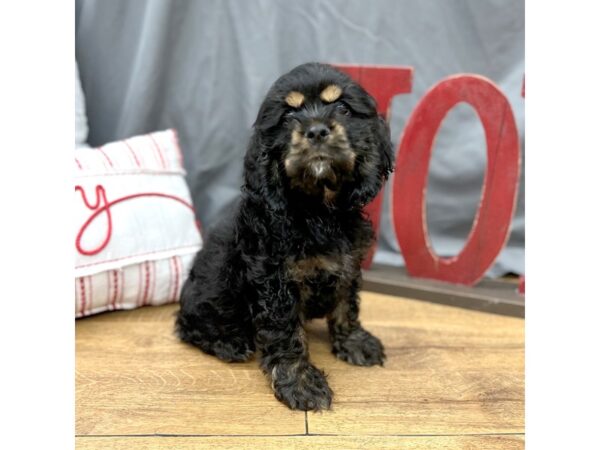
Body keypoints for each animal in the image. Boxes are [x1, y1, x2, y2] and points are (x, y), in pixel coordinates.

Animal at [176, 63, 396, 412]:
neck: (318, 209)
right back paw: (229, 343)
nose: (317, 131)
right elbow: (286, 333)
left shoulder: (348, 263)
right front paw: (301, 383)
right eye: (289, 115)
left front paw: (354, 342)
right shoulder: (275, 279)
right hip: (207, 298)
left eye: (343, 109)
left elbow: (346, 305)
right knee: (189, 327)